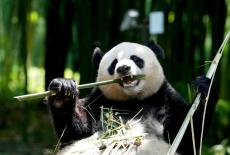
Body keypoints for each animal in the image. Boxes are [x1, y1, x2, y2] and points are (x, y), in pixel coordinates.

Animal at [47, 41, 216, 155]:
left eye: (136, 59)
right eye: (113, 63)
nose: (123, 68)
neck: (133, 100)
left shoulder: (165, 100)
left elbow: (186, 136)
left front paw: (204, 88)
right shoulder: (98, 102)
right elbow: (75, 133)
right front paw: (63, 92)